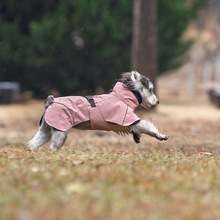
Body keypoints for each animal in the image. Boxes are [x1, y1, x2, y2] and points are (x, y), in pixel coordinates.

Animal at [27, 71, 168, 150]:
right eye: (150, 89)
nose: (157, 102)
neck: (123, 96)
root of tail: (50, 103)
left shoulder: (123, 124)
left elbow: (137, 129)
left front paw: (137, 137)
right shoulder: (127, 119)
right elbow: (147, 126)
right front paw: (161, 135)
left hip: (45, 130)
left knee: (34, 142)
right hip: (60, 131)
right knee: (53, 146)